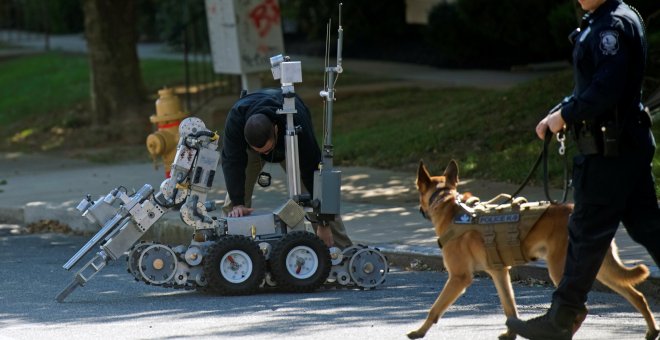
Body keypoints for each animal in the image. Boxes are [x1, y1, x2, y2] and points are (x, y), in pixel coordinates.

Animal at [410, 160, 656, 340]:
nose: (419, 209)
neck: (449, 206)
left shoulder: (459, 277)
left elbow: (434, 308)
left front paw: (419, 331)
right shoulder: (500, 273)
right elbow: (510, 308)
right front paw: (511, 333)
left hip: (561, 270)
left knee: (582, 309)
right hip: (598, 268)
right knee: (637, 295)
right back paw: (652, 330)